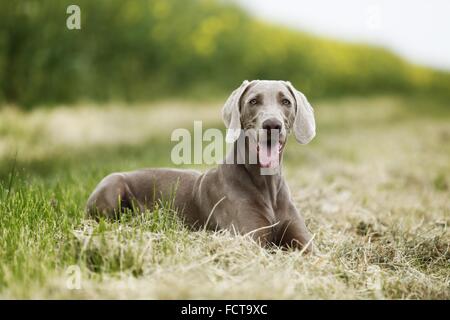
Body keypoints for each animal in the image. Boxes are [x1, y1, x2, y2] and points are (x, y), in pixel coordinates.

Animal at [85, 80, 316, 252]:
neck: (266, 183)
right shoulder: (252, 240)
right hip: (112, 185)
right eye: (253, 101)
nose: (272, 125)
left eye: (285, 101)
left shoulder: (305, 244)